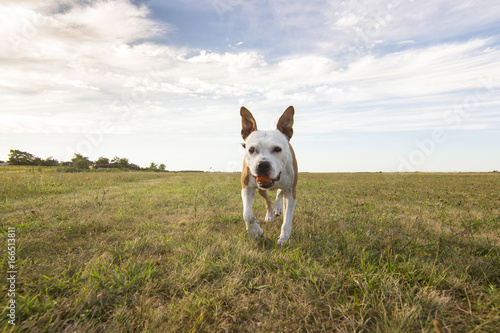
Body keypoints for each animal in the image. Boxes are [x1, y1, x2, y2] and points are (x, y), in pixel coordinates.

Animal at [239, 105, 296, 245]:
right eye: (251, 150)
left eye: (277, 149)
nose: (263, 165)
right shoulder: (247, 188)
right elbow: (247, 214)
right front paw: (255, 231)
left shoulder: (291, 190)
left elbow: (287, 219)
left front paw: (284, 238)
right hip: (261, 190)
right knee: (268, 201)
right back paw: (270, 215)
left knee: (279, 193)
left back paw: (278, 207)